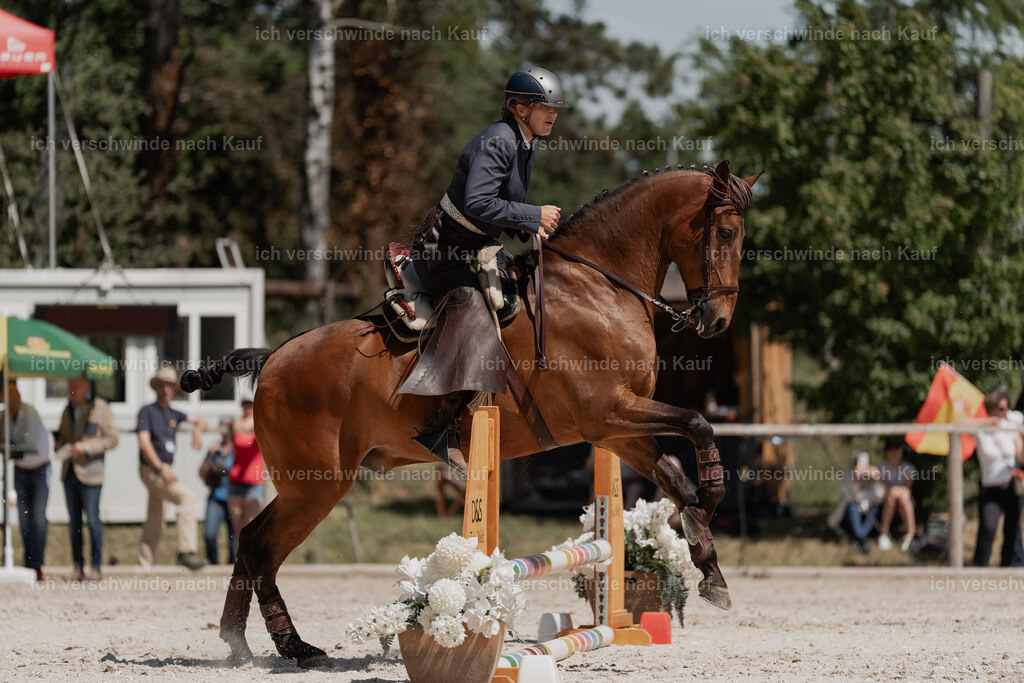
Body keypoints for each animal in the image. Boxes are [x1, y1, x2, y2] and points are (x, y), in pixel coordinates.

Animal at [181, 160, 761, 668]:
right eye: (726, 232)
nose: (717, 320)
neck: (600, 289)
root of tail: (274, 357)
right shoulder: (609, 414)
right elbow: (698, 424)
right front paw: (712, 502)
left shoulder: (621, 432)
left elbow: (676, 477)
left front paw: (709, 565)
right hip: (316, 484)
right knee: (261, 546)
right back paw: (290, 647)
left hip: (311, 485)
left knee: (251, 543)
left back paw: (242, 644)